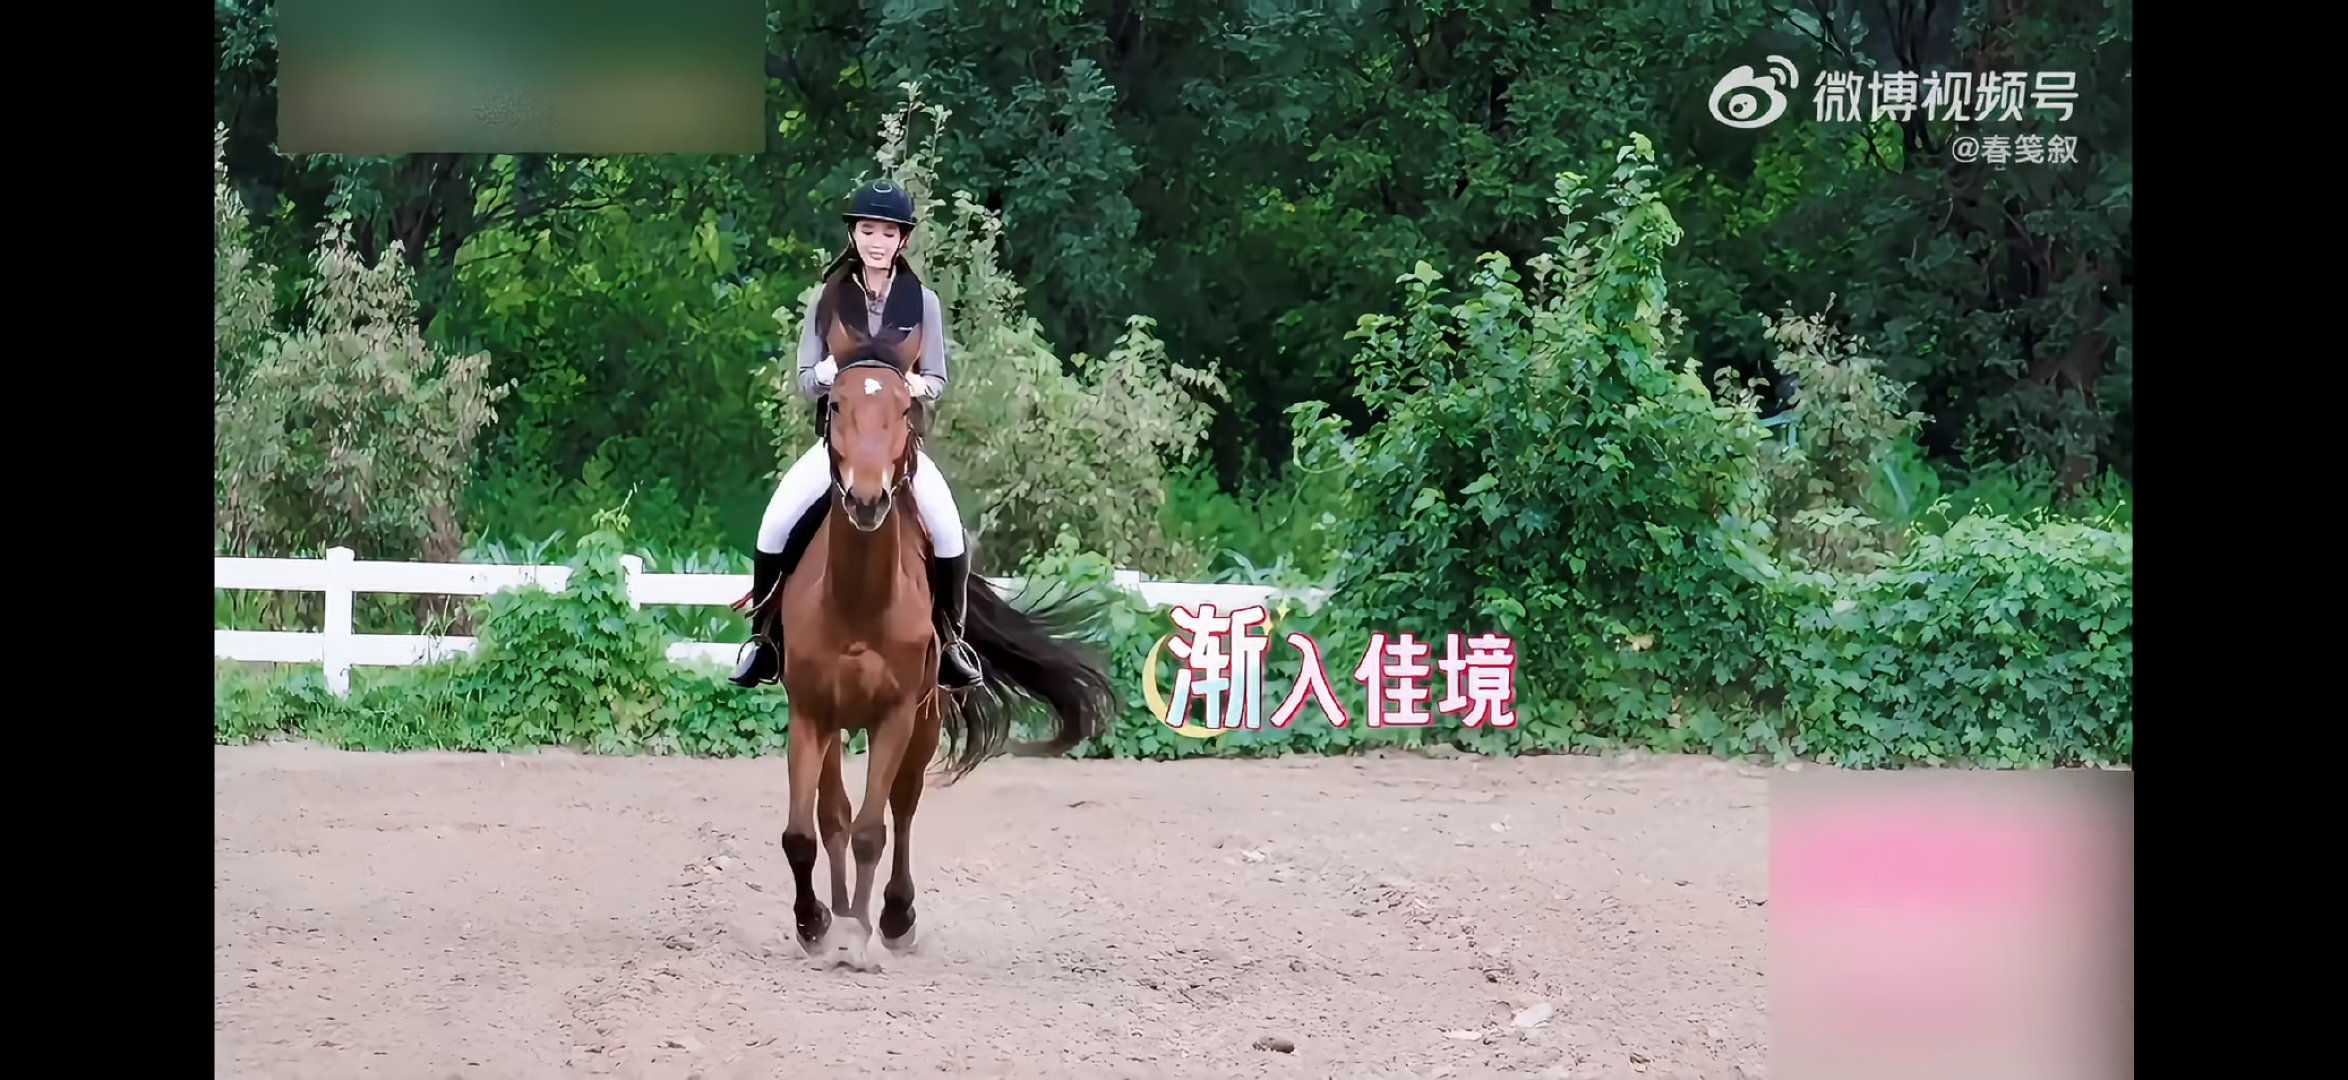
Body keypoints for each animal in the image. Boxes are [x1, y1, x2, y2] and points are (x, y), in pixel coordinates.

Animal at [757, 315, 1114, 971]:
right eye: (837, 403)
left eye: (903, 408)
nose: (867, 498)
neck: (858, 597)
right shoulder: (810, 713)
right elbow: (804, 831)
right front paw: (817, 924)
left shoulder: (898, 715)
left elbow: (875, 828)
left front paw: (861, 936)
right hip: (836, 724)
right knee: (833, 814)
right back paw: (841, 912)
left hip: (922, 723)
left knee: (901, 807)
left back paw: (893, 918)